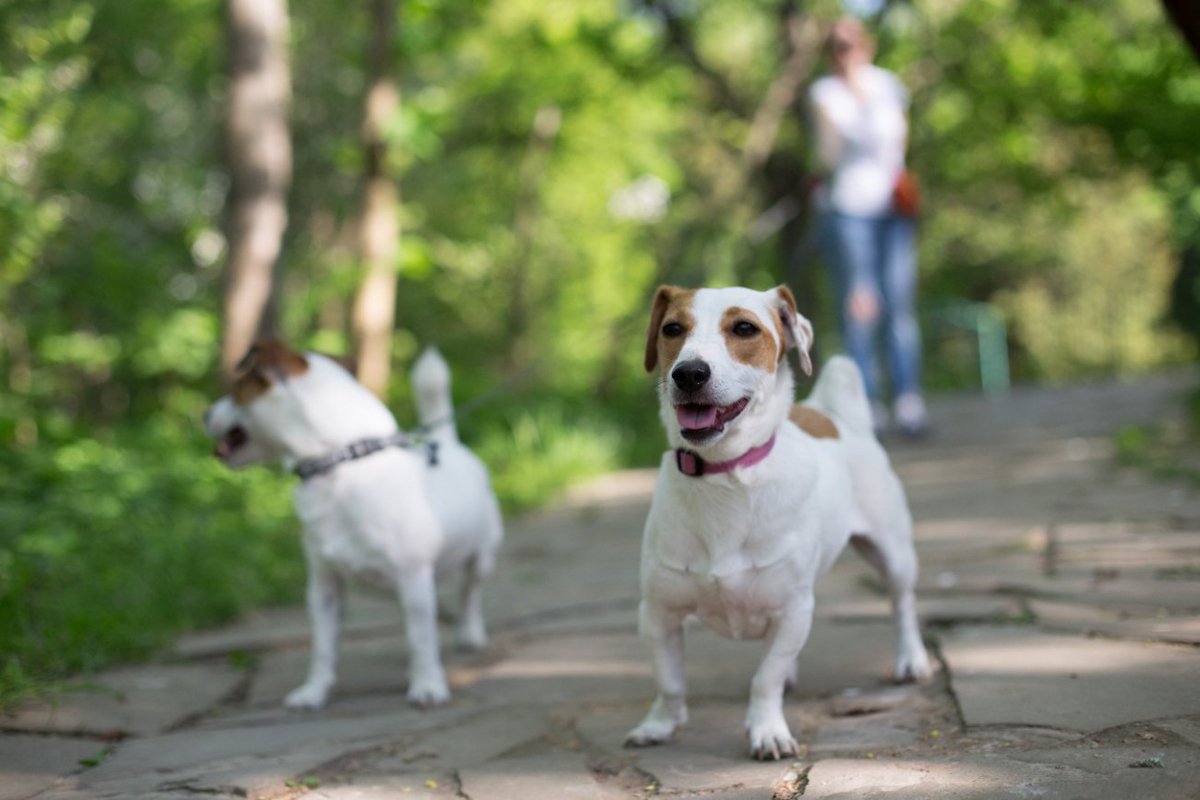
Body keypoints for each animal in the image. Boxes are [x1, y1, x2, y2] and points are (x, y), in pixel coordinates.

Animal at [205, 343, 501, 705]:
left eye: (236, 391)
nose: (204, 413)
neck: (341, 464)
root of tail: (449, 444)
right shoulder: (323, 587)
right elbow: (322, 646)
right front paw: (314, 692)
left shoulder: (414, 578)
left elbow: (422, 640)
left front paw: (428, 684)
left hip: (481, 558)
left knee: (469, 593)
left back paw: (470, 634)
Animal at [624, 284, 931, 762]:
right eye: (672, 329)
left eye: (744, 328)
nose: (688, 373)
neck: (726, 476)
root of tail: (830, 415)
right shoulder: (658, 612)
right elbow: (670, 680)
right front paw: (659, 725)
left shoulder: (794, 610)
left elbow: (764, 678)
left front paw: (767, 731)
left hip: (894, 554)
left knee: (902, 604)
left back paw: (911, 659)